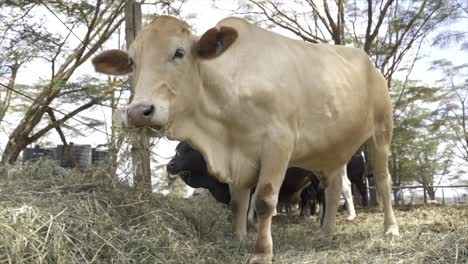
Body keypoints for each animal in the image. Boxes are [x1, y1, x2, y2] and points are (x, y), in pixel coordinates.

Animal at [91, 15, 398, 262]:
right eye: (132, 62)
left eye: (179, 52)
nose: (138, 111)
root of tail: (370, 65)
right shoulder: (237, 156)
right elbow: (238, 203)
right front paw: (238, 239)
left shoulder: (278, 145)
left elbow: (264, 201)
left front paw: (262, 252)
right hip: (332, 150)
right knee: (334, 188)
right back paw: (326, 232)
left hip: (381, 132)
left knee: (383, 181)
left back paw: (390, 228)